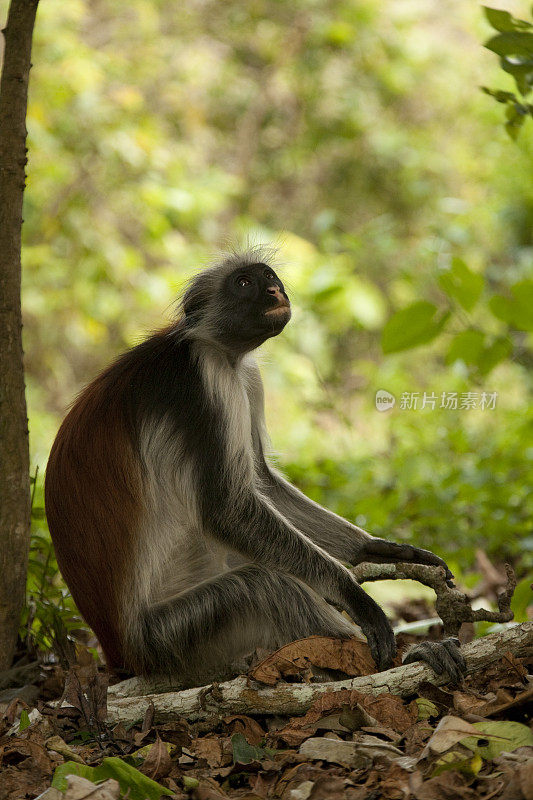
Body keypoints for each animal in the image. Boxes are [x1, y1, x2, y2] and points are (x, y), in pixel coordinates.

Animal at [44, 248, 462, 680]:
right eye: (244, 283)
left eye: (269, 277)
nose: (275, 290)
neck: (220, 349)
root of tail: (117, 652)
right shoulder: (202, 380)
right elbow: (226, 509)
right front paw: (353, 594)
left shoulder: (246, 377)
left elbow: (261, 479)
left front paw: (382, 549)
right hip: (170, 635)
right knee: (269, 586)